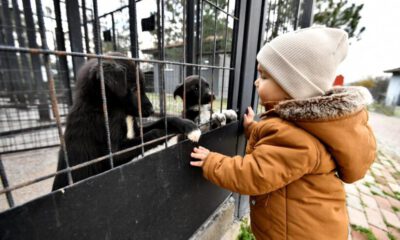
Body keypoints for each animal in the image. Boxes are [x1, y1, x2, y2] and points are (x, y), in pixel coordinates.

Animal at [53, 53, 202, 191]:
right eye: (135, 89)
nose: (152, 110)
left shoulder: (135, 131)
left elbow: (164, 119)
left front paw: (187, 124)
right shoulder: (112, 156)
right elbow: (153, 134)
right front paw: (169, 131)